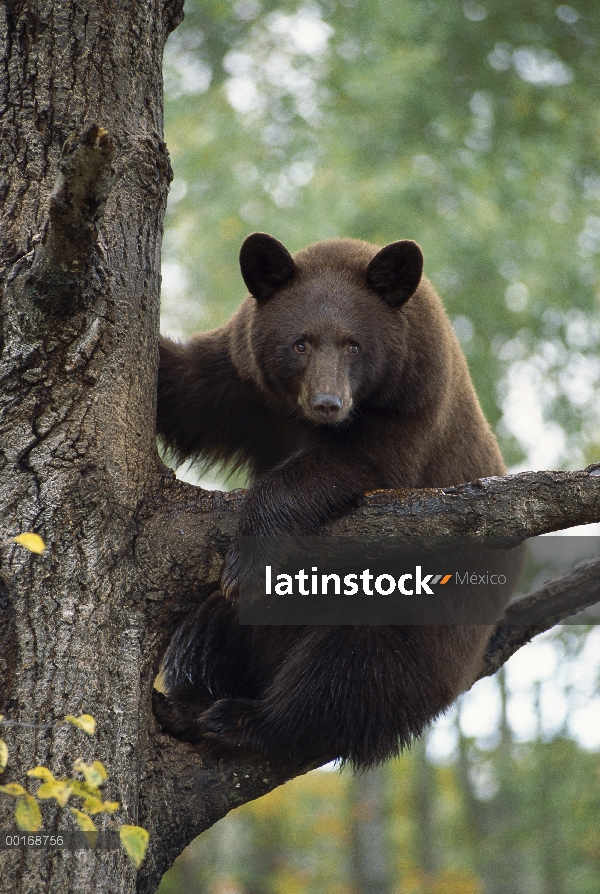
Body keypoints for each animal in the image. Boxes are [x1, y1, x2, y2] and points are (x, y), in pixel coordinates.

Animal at [155, 234, 510, 772]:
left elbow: (341, 467)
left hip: (418, 617)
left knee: (350, 670)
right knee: (208, 625)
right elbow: (185, 392)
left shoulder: (408, 413)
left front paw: (248, 564)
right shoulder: (241, 384)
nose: (328, 403)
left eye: (353, 344)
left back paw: (244, 719)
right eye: (299, 343)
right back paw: (189, 701)